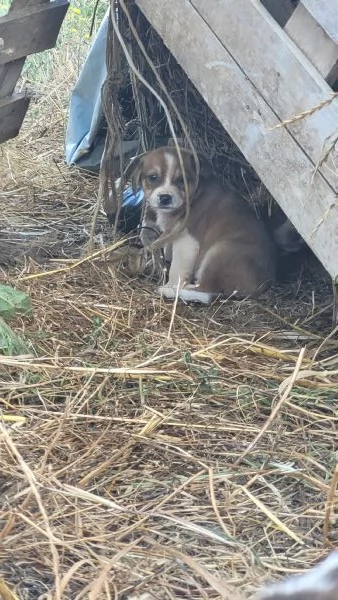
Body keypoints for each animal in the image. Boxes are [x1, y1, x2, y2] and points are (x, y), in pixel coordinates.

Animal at [125, 148, 276, 302]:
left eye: (181, 180)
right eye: (153, 177)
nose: (165, 198)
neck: (193, 197)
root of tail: (262, 286)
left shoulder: (187, 240)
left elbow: (177, 269)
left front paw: (170, 285)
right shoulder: (172, 232)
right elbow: (167, 248)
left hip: (218, 253)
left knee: (206, 292)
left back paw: (170, 291)